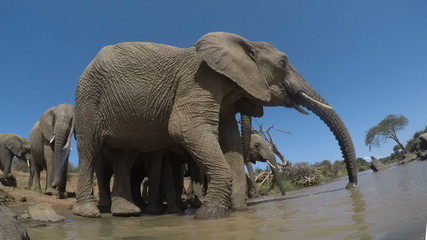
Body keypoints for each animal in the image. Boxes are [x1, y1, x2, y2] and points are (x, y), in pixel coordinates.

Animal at [72, 31, 358, 219]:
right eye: (283, 63)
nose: (350, 186)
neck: (241, 43)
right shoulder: (199, 80)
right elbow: (186, 129)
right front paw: (210, 214)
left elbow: (229, 141)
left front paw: (238, 211)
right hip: (87, 99)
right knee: (90, 149)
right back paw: (89, 214)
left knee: (124, 156)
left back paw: (126, 213)